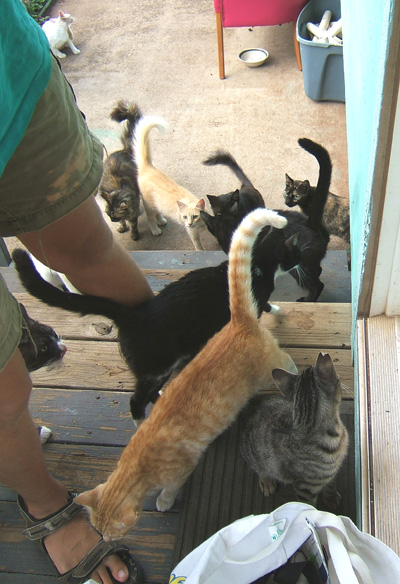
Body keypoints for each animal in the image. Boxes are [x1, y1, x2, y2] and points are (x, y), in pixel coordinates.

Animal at [12, 210, 300, 424]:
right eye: (294, 254)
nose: (298, 262)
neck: (259, 261)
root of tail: (133, 315)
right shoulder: (258, 299)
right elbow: (265, 307)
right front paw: (277, 310)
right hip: (155, 369)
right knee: (136, 400)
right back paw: (139, 422)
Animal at [72, 208, 296, 540]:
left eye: (110, 535)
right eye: (99, 533)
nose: (107, 542)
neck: (137, 464)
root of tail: (238, 321)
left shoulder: (184, 468)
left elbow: (170, 489)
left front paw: (163, 501)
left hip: (270, 365)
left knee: (288, 362)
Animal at [97, 100, 143, 240]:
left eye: (115, 216)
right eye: (107, 214)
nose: (112, 220)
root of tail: (124, 150)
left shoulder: (132, 213)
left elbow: (133, 224)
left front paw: (134, 234)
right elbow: (124, 223)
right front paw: (122, 227)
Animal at [132, 115, 208, 250]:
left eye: (195, 216)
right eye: (185, 217)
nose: (189, 223)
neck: (200, 224)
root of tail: (148, 167)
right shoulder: (192, 232)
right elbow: (198, 244)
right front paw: (201, 251)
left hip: (156, 203)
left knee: (157, 212)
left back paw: (161, 221)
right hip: (148, 204)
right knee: (150, 217)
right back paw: (155, 230)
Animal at [239, 352, 348, 506]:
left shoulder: (332, 472)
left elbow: (331, 484)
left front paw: (331, 499)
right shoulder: (304, 487)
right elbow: (308, 505)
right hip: (252, 454)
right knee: (259, 468)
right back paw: (267, 482)